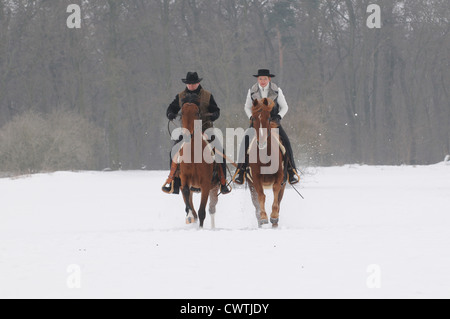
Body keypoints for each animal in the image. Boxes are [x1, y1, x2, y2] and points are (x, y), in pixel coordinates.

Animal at [179, 94, 221, 229]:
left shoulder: (206, 184)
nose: (188, 135)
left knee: (212, 209)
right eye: (182, 113)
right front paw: (189, 216)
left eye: (197, 113)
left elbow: (202, 211)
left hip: (214, 187)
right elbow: (186, 195)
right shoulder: (185, 179)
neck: (194, 154)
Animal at [248, 99, 286, 229]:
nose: (262, 143)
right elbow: (261, 196)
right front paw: (263, 217)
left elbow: (275, 191)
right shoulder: (255, 178)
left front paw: (273, 216)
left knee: (279, 200)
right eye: (253, 118)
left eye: (268, 118)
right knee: (255, 203)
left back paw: (275, 222)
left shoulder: (279, 176)